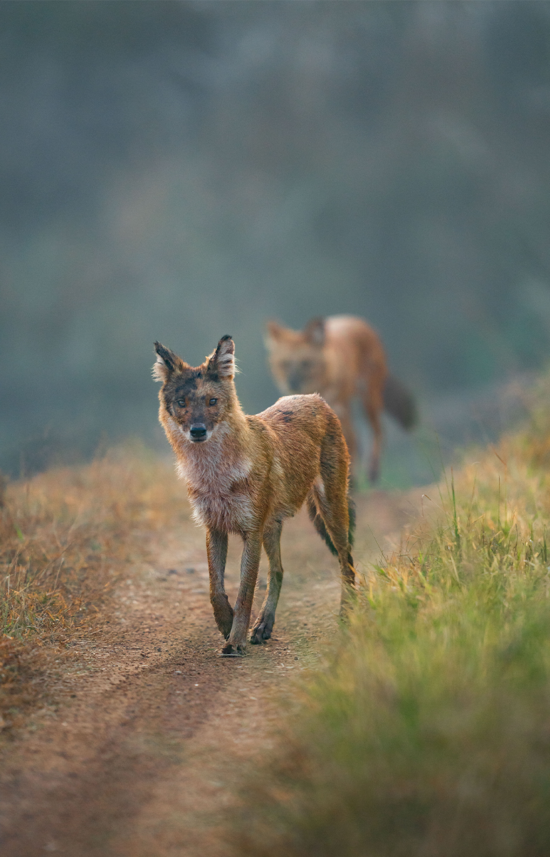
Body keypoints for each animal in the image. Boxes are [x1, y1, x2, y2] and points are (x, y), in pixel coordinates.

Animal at [153, 334, 358, 656]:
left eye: (212, 402)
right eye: (182, 403)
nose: (197, 431)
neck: (215, 475)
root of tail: (314, 397)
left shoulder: (251, 531)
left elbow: (245, 590)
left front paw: (235, 640)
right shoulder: (214, 528)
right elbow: (216, 588)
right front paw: (226, 624)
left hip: (330, 510)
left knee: (346, 561)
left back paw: (347, 616)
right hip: (271, 528)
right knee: (279, 570)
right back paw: (264, 625)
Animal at [266, 312, 416, 482]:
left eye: (306, 363)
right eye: (284, 364)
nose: (292, 383)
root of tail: (358, 320)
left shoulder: (339, 408)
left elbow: (348, 441)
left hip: (368, 398)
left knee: (375, 431)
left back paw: (371, 470)